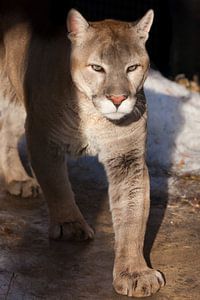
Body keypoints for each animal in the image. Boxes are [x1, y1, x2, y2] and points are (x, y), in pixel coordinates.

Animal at [0, 9, 164, 298]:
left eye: (132, 68)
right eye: (97, 68)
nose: (118, 99)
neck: (93, 114)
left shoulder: (127, 157)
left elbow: (132, 215)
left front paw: (134, 272)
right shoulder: (43, 137)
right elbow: (57, 185)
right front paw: (70, 226)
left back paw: (17, 179)